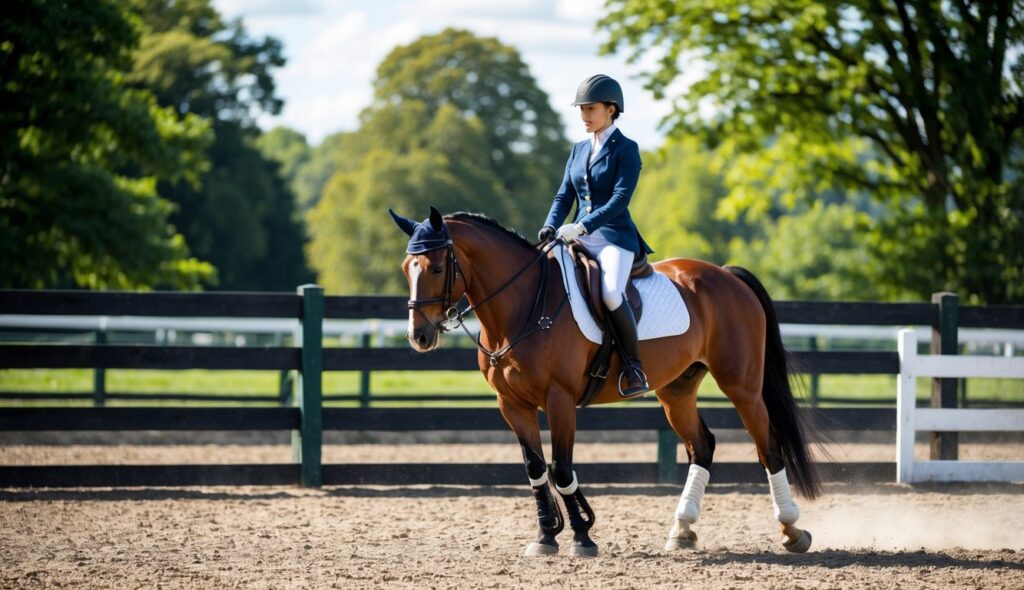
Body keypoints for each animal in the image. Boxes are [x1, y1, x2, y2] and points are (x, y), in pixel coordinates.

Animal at [387, 204, 819, 557]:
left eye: (437, 268)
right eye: (406, 268)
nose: (418, 336)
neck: (524, 306)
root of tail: (727, 275)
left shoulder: (559, 400)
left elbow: (561, 468)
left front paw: (582, 535)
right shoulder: (512, 404)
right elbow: (535, 468)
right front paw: (546, 536)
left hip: (741, 385)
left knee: (768, 447)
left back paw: (792, 530)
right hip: (676, 390)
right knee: (702, 446)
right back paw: (682, 531)